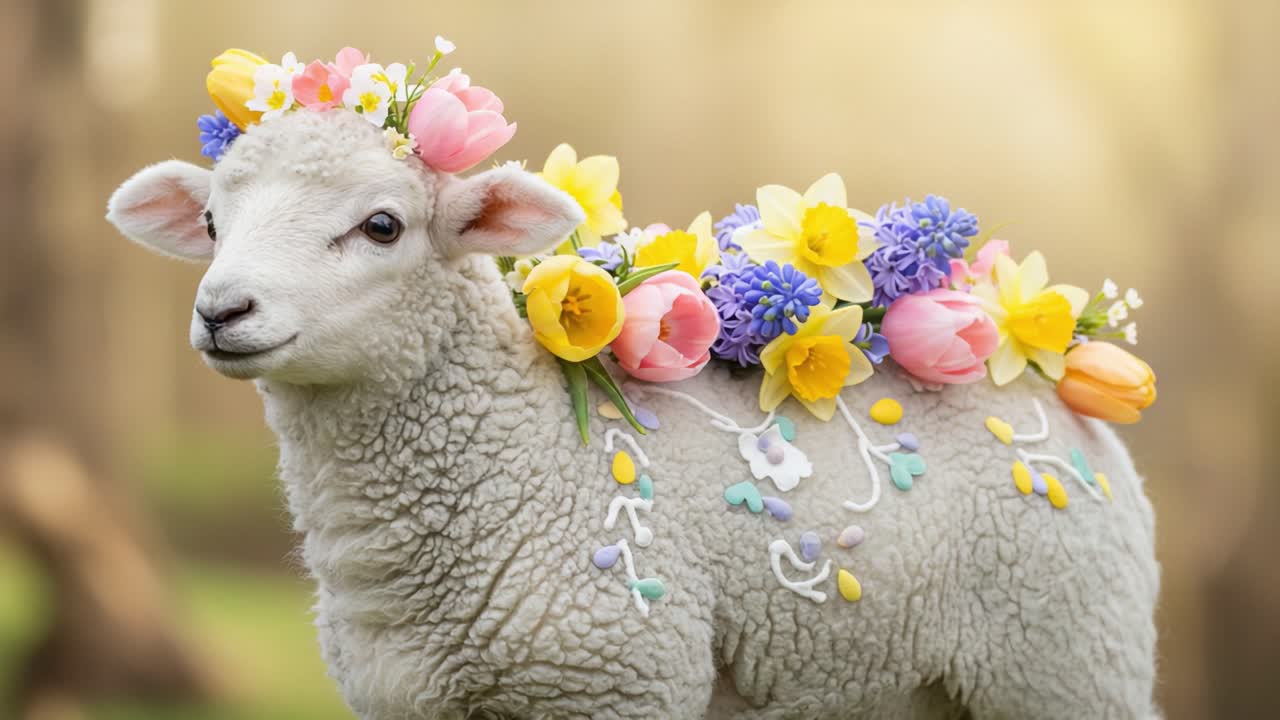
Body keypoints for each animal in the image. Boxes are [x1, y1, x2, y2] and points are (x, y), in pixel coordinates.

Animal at [106, 109, 1160, 719]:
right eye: (211, 224)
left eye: (382, 225)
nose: (222, 310)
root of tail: (1047, 380)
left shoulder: (616, 677)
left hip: (1068, 657)